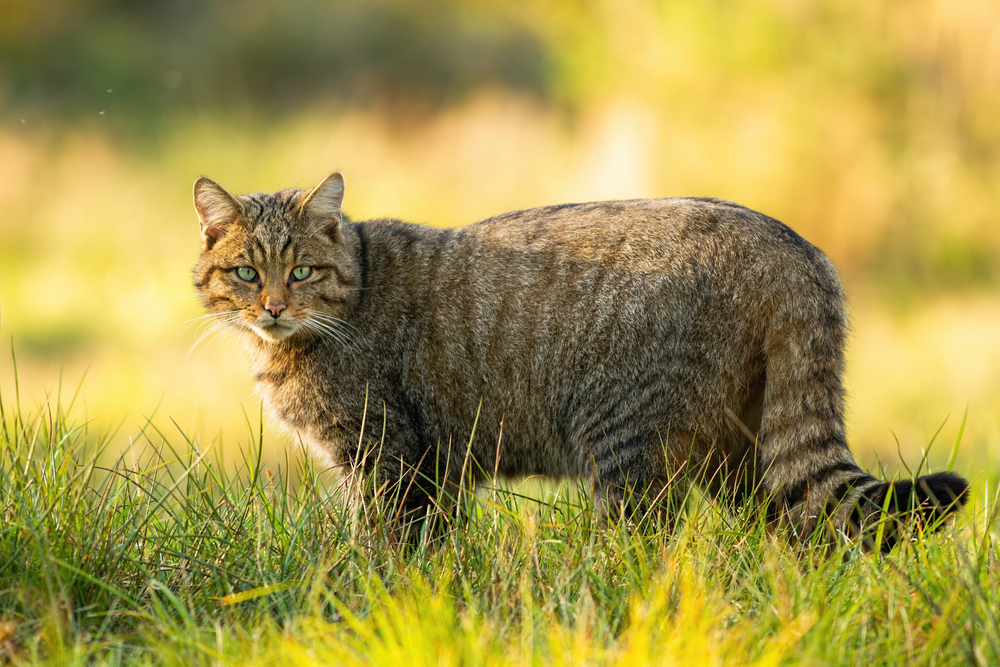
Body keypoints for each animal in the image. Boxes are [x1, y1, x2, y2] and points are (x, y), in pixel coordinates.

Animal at [191, 171, 964, 548]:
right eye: (246, 273)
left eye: (301, 271)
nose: (273, 307)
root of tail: (794, 244)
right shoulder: (433, 469)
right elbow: (436, 551)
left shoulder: (389, 458)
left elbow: (388, 548)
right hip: (740, 453)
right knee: (799, 533)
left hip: (627, 447)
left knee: (649, 554)